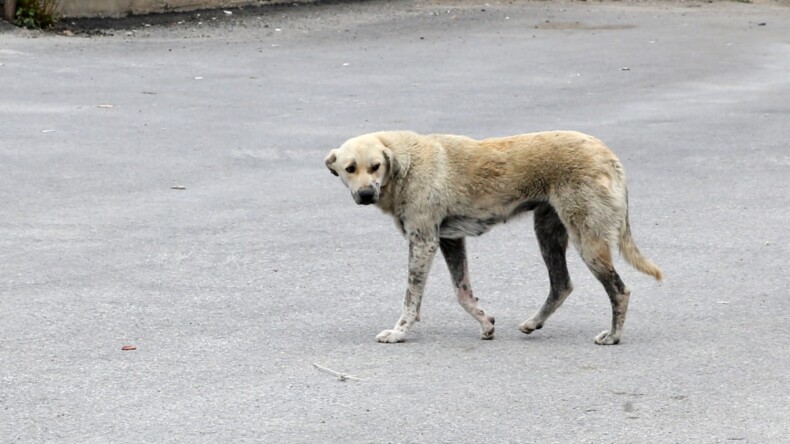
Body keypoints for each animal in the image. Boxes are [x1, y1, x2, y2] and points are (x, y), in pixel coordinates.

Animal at [324, 130, 664, 346]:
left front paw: (399, 332)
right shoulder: (449, 241)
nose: (366, 194)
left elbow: (411, 298)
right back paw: (534, 322)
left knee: (619, 291)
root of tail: (608, 154)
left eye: (375, 166)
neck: (405, 164)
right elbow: (462, 292)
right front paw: (485, 323)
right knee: (562, 285)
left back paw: (614, 336)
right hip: (548, 233)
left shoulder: (423, 242)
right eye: (350, 168)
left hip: (588, 241)